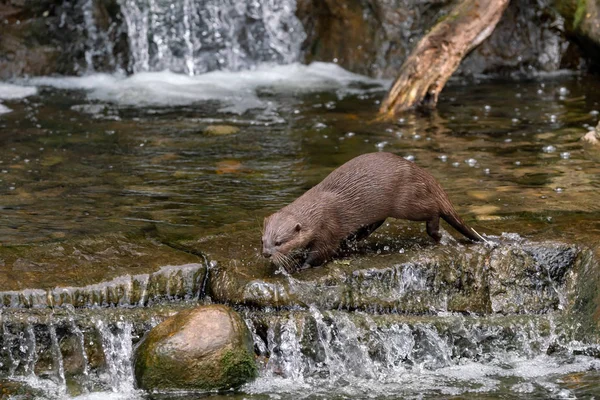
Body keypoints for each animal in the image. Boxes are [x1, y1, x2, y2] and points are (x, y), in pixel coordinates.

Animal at [262, 152, 482, 272]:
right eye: (263, 240)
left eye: (279, 242)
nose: (266, 253)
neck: (316, 211)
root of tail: (423, 173)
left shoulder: (328, 228)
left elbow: (321, 251)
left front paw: (302, 265)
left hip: (408, 203)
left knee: (434, 210)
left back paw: (435, 233)